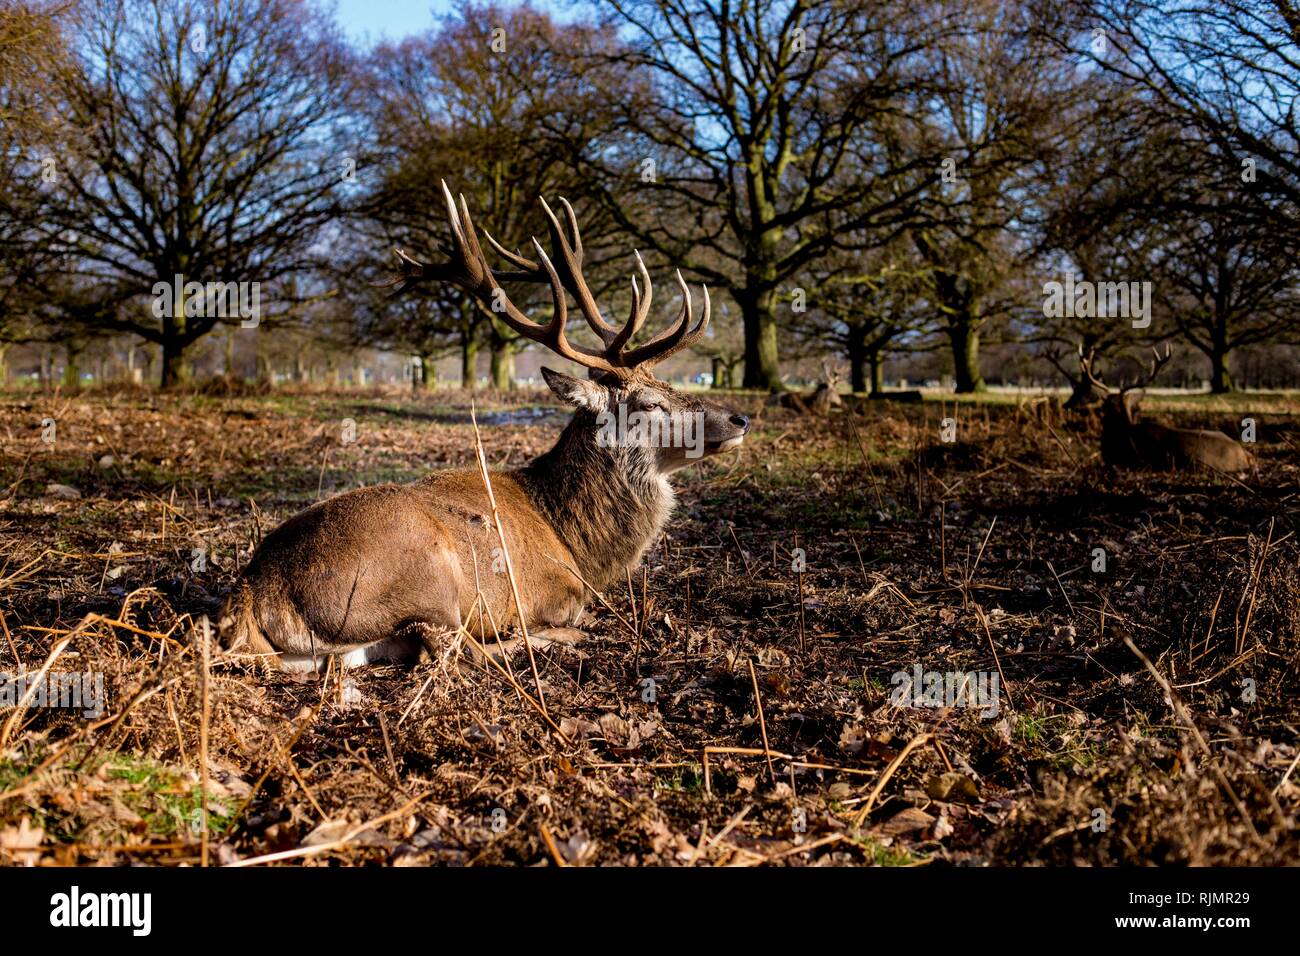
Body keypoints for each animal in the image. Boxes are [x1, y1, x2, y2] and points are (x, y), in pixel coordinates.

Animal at [220, 183, 754, 671]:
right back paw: (550, 640)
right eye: (649, 402)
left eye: (666, 382)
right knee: (453, 650)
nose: (739, 418)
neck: (575, 542)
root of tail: (255, 591)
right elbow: (571, 612)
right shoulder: (558, 589)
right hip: (430, 575)